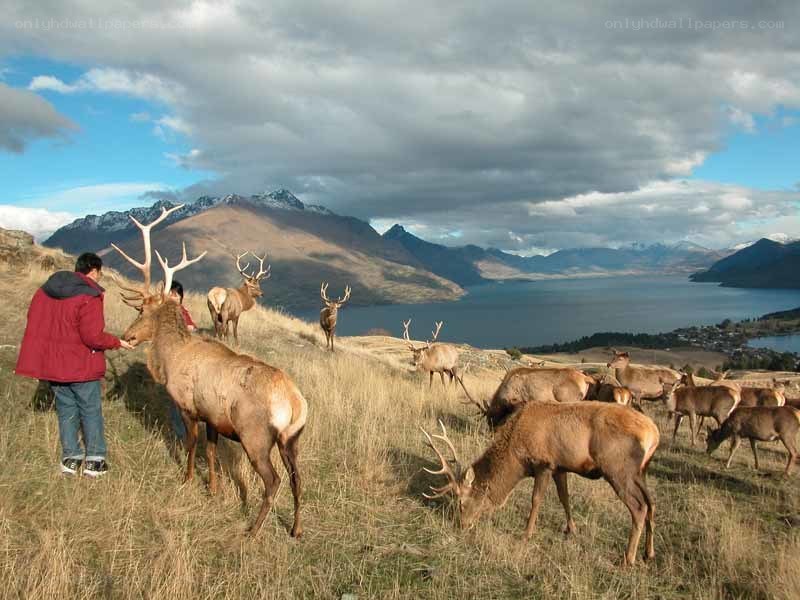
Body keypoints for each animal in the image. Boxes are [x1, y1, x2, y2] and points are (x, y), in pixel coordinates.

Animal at [113, 207, 307, 538]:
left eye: (142, 310)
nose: (127, 336)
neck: (170, 359)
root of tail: (295, 404)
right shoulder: (213, 417)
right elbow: (212, 452)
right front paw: (214, 489)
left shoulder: (188, 406)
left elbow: (191, 445)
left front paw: (188, 479)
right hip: (290, 439)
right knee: (298, 477)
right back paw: (295, 529)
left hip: (255, 435)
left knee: (274, 481)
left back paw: (253, 530)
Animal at [421, 400, 660, 566]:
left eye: (461, 502)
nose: (461, 525)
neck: (517, 457)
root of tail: (654, 434)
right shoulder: (559, 467)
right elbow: (564, 497)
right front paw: (571, 529)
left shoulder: (543, 463)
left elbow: (536, 500)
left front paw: (526, 534)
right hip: (641, 472)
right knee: (651, 504)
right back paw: (649, 553)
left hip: (618, 469)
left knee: (639, 506)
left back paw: (628, 558)